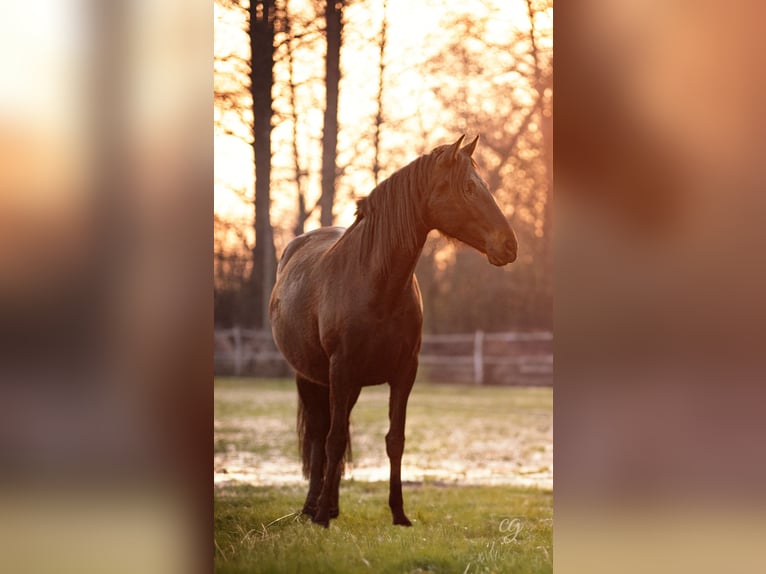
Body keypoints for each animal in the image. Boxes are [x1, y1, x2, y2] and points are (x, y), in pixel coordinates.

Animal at [268, 134, 516, 528]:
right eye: (467, 187)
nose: (509, 245)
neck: (376, 283)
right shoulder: (340, 371)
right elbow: (332, 440)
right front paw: (320, 516)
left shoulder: (403, 373)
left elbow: (394, 439)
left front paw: (399, 513)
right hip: (311, 378)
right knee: (320, 434)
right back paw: (313, 508)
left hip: (347, 385)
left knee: (337, 430)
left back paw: (331, 505)